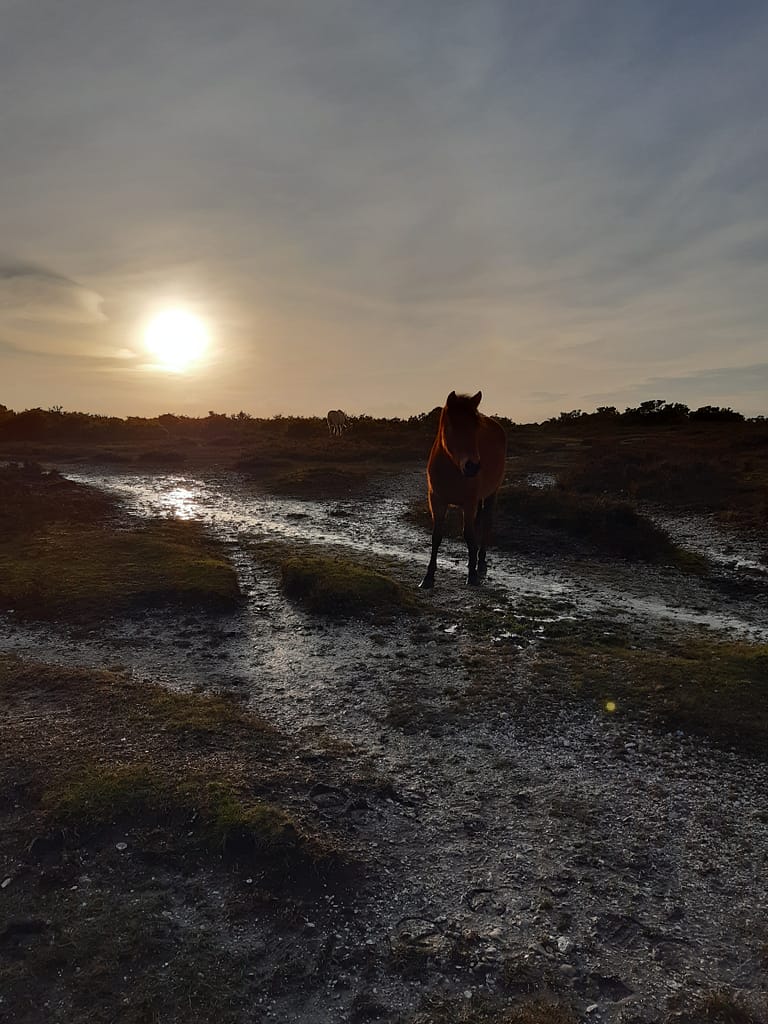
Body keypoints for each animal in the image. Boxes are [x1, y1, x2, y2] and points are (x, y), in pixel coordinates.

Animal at [420, 390, 507, 588]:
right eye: (452, 426)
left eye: (476, 428)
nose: (472, 466)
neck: (452, 469)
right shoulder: (436, 500)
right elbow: (436, 536)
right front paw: (428, 577)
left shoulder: (469, 503)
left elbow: (468, 535)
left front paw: (472, 576)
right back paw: (471, 561)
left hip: (492, 493)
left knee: (485, 523)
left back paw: (480, 562)